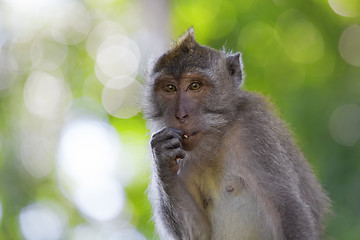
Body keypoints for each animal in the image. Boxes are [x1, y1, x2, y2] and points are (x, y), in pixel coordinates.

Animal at [142, 27, 330, 239]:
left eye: (195, 86)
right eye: (170, 88)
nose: (181, 115)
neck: (218, 135)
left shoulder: (254, 129)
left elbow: (288, 208)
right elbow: (198, 232)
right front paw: (163, 160)